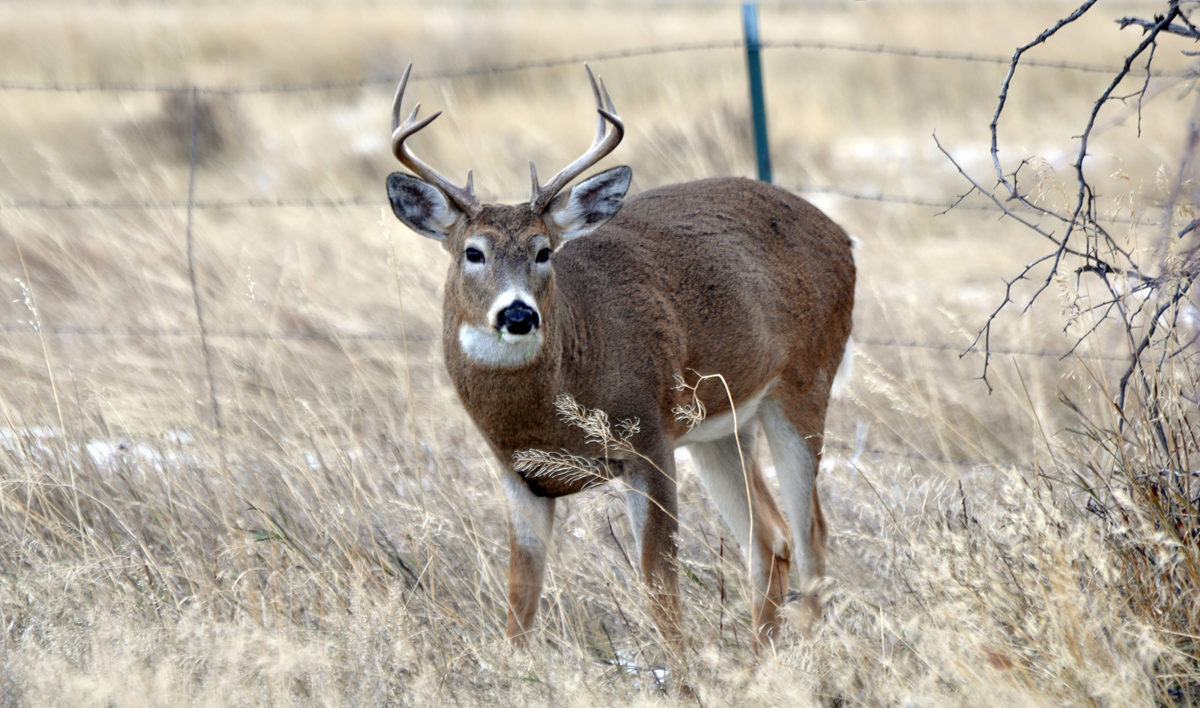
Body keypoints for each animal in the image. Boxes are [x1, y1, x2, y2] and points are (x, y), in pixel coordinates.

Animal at [381, 65, 854, 662]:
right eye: (473, 252)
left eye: (543, 251)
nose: (518, 313)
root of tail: (842, 237)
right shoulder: (518, 474)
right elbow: (519, 600)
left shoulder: (647, 438)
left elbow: (659, 586)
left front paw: (679, 674)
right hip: (719, 427)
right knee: (771, 538)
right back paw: (758, 661)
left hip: (804, 382)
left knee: (812, 533)